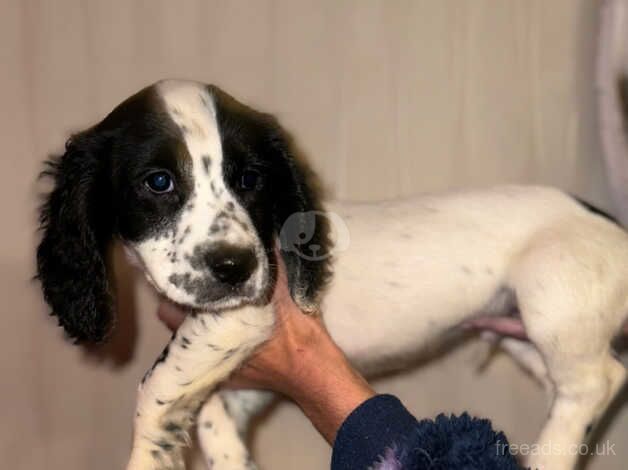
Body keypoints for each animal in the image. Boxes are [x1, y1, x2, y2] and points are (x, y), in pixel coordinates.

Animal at [38, 79, 628, 468]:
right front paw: (228, 454)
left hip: (552, 304)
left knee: (595, 382)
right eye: (157, 181)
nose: (236, 267)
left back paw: (549, 455)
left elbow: (155, 387)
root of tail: (610, 225)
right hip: (522, 332)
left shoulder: (245, 312)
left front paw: (148, 454)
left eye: (250, 179)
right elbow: (209, 411)